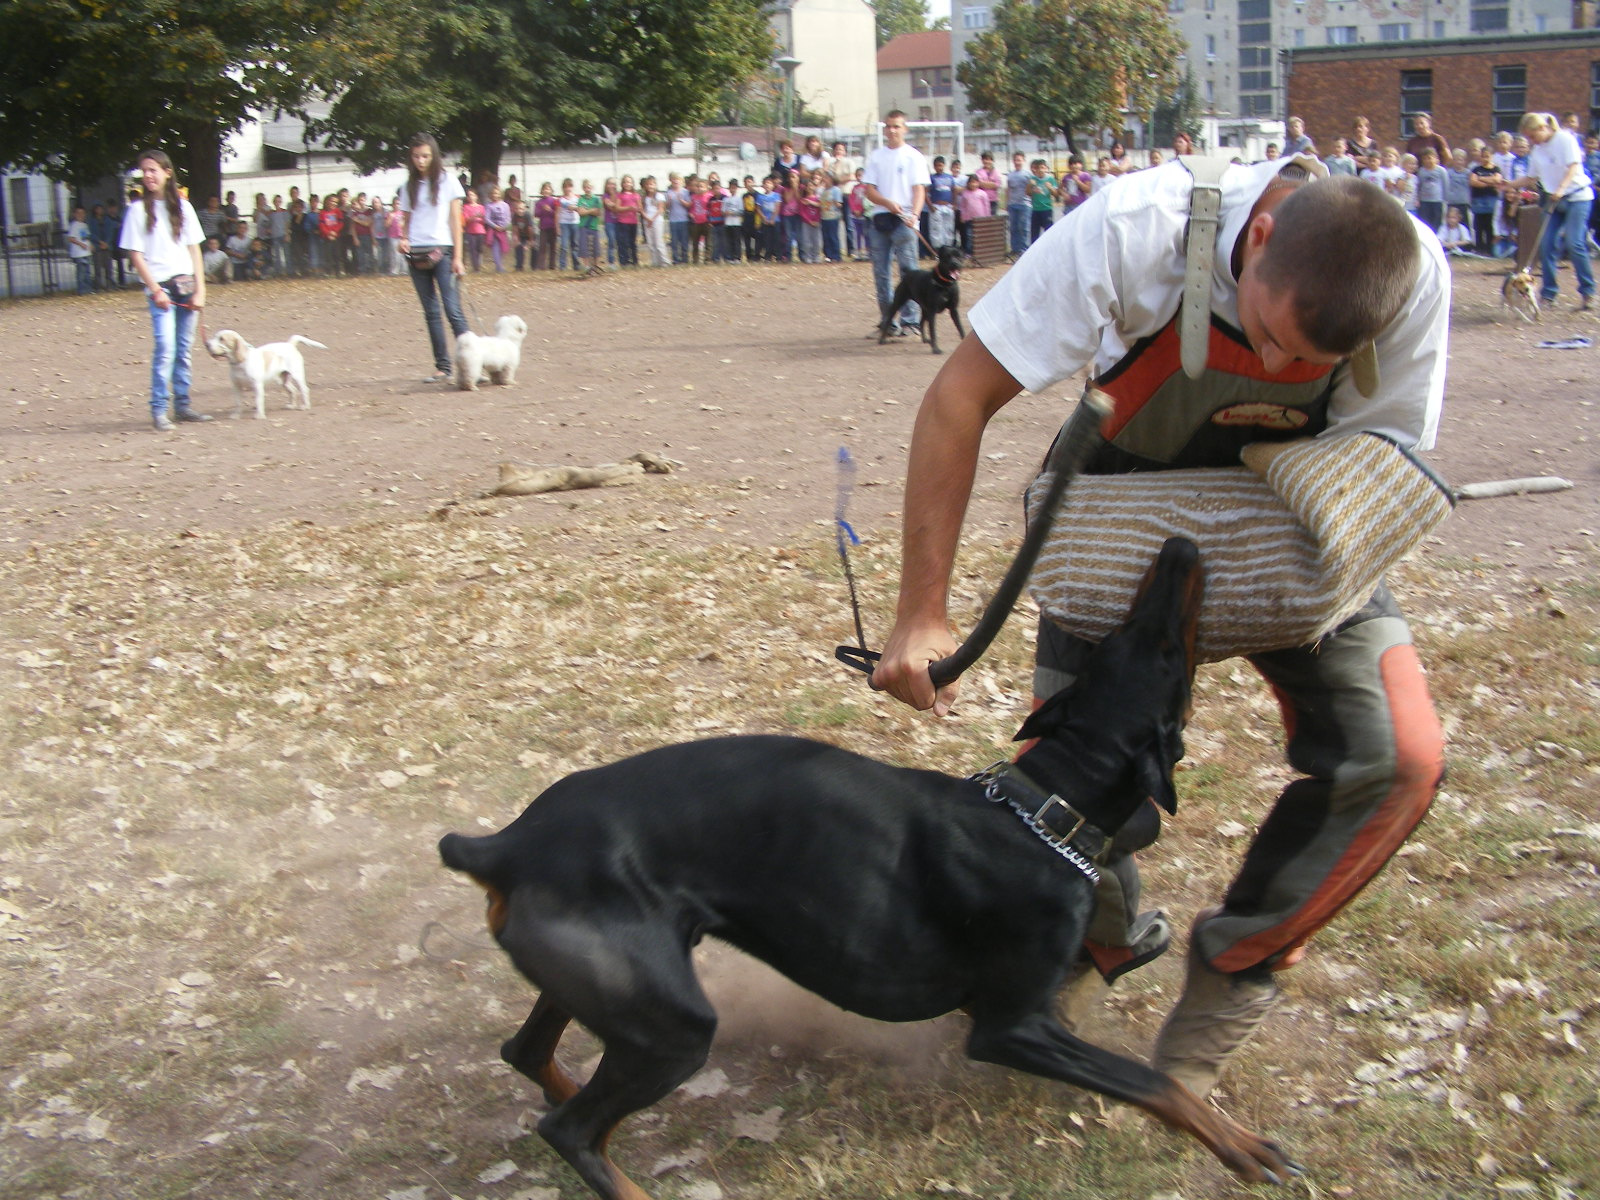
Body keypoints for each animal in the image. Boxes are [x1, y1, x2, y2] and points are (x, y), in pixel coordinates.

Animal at [438, 540, 1299, 1200]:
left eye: (1125, 638)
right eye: (1168, 656)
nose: (1180, 548)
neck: (1044, 806)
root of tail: (504, 845)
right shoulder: (1013, 1026)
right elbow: (1157, 1082)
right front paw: (1245, 1148)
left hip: (611, 990)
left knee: (530, 1058)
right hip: (673, 1026)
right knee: (571, 1130)